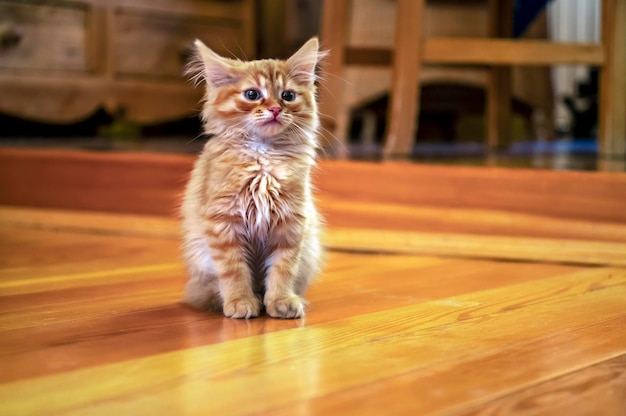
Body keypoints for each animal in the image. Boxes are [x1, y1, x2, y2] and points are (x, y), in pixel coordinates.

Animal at [180, 37, 324, 320]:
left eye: (288, 95)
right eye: (252, 94)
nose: (275, 109)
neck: (263, 158)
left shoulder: (291, 223)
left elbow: (282, 269)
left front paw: (281, 301)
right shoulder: (223, 223)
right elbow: (234, 271)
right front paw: (240, 302)